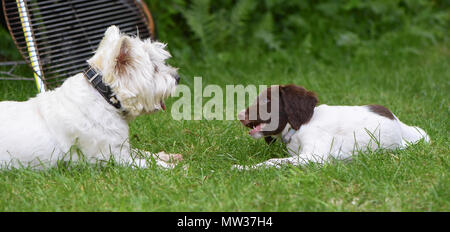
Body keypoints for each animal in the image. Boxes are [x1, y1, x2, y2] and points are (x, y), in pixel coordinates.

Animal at [1, 25, 183, 169]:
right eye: (155, 69)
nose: (177, 78)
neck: (104, 97)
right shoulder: (112, 158)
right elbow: (147, 163)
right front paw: (176, 168)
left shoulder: (121, 148)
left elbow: (144, 152)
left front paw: (168, 156)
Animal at [236, 84, 428, 169]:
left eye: (267, 101)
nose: (239, 115)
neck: (298, 127)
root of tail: (396, 120)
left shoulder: (315, 156)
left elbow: (272, 161)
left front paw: (243, 168)